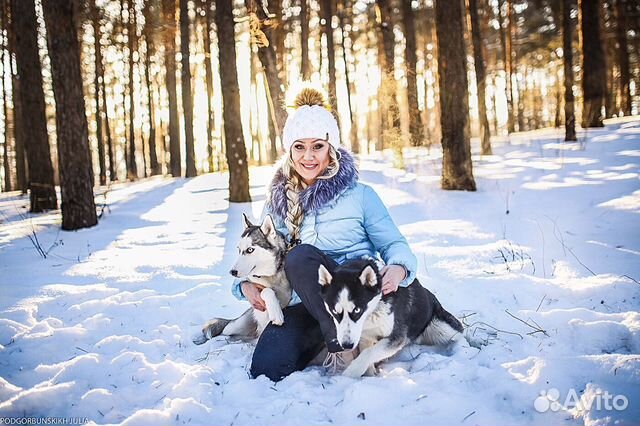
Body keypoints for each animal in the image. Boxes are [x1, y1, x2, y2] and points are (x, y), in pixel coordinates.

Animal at [192, 215, 292, 344]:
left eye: (250, 250)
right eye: (238, 249)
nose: (232, 272)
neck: (270, 275)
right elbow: (267, 291)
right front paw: (276, 312)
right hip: (237, 325)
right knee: (224, 330)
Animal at [318, 258, 460, 378]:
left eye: (357, 310)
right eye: (334, 311)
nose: (347, 345)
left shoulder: (397, 336)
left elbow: (369, 352)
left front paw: (351, 372)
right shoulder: (365, 336)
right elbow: (366, 353)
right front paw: (369, 375)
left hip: (441, 327)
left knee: (459, 333)